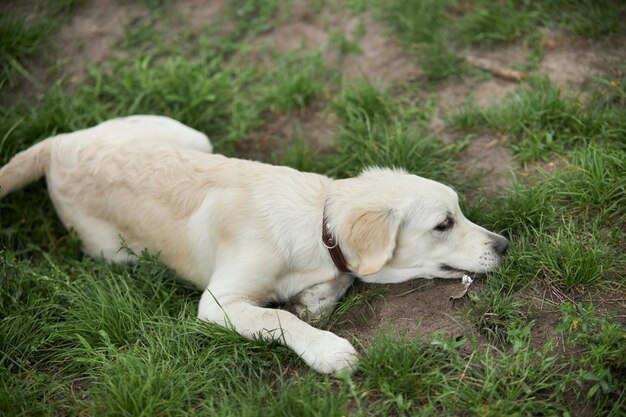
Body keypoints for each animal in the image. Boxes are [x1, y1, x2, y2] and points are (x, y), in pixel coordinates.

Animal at [0, 115, 508, 372]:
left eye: (458, 213)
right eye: (444, 224)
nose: (504, 244)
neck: (315, 223)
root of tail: (58, 143)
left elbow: (329, 285)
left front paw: (315, 301)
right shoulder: (216, 303)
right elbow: (277, 317)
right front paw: (327, 349)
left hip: (190, 135)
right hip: (113, 251)